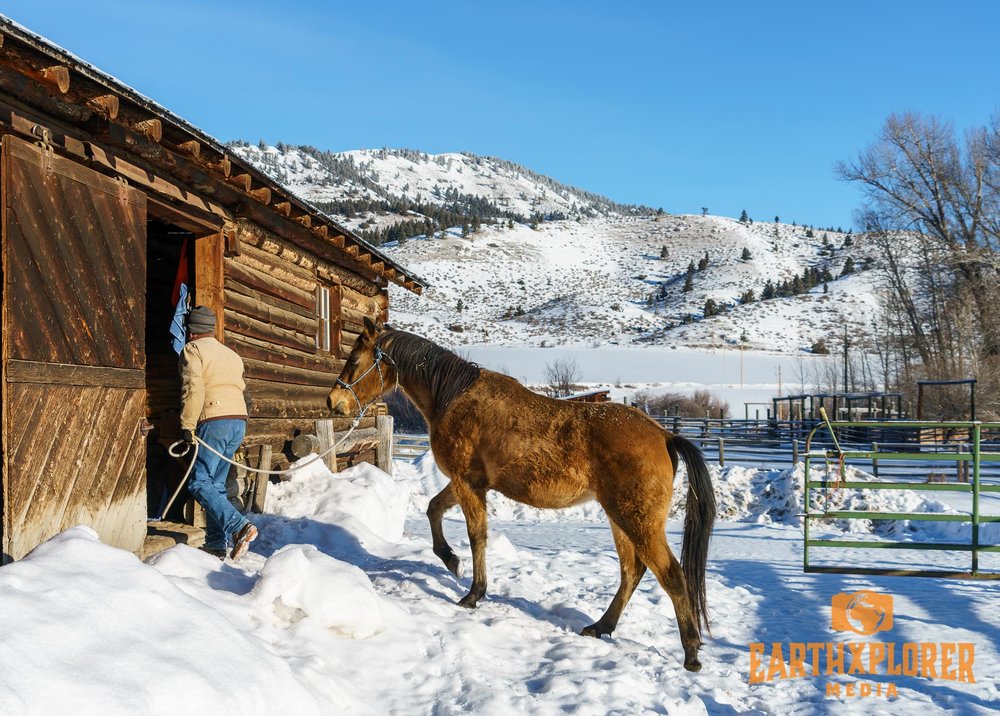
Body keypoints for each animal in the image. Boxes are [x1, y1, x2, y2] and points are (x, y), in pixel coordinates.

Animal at [330, 318, 720, 672]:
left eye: (355, 358)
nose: (334, 402)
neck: (453, 396)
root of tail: (665, 436)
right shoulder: (468, 482)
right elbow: (433, 510)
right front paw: (451, 560)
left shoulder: (467, 483)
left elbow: (476, 536)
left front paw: (473, 592)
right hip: (619, 518)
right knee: (632, 571)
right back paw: (600, 627)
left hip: (636, 519)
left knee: (671, 575)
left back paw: (690, 652)